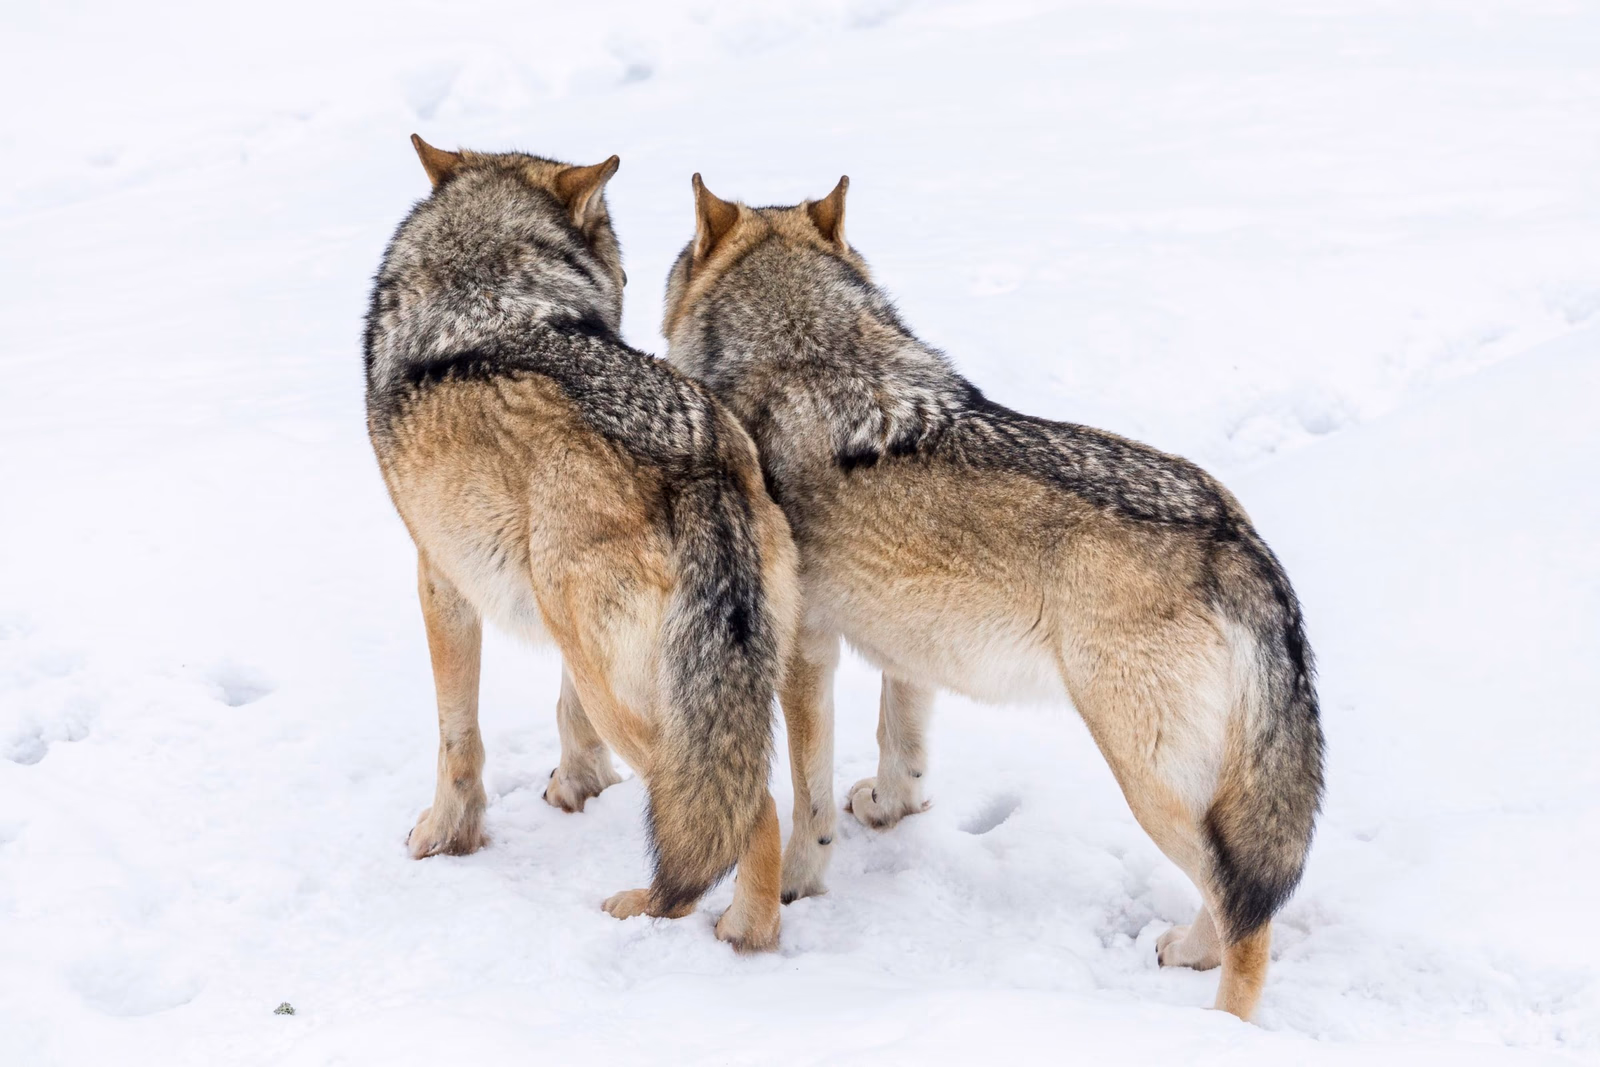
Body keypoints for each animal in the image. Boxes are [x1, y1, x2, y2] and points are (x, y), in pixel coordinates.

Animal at [363, 137, 799, 950]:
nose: (629, 278)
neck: (484, 282)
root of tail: (701, 469)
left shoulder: (439, 577)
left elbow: (456, 736)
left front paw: (443, 838)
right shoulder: (555, 622)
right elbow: (565, 718)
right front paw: (577, 790)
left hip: (644, 703)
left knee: (742, 813)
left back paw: (709, 928)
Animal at [658, 174, 1325, 1016]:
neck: (805, 348)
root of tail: (1237, 538)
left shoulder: (804, 651)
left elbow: (809, 796)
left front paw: (793, 891)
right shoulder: (908, 645)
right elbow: (901, 749)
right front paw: (889, 808)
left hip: (1146, 778)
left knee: (1248, 914)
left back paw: (1220, 1023)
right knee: (1235, 892)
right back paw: (1186, 951)